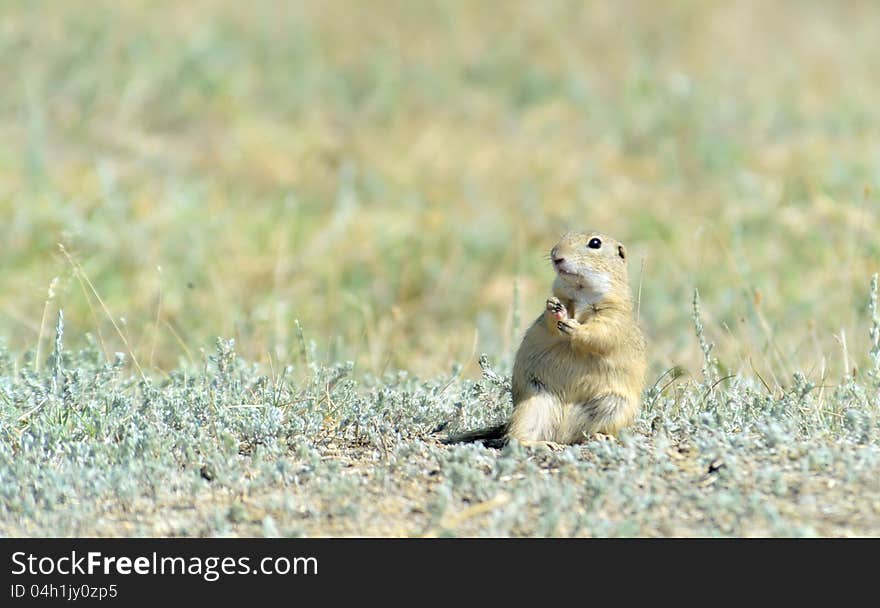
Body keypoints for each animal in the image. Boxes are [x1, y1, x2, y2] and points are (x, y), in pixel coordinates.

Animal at [446, 230, 648, 448]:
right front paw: (556, 309)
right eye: (564, 235)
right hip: (533, 406)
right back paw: (543, 444)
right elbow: (551, 321)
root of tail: (563, 434)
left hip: (614, 408)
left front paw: (574, 327)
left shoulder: (614, 315)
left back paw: (600, 437)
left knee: (583, 435)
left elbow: (601, 333)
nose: (555, 255)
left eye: (595, 243)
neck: (581, 292)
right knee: (514, 438)